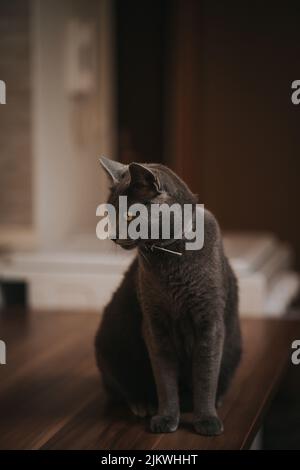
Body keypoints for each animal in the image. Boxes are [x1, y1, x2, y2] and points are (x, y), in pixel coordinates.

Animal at [95, 159, 241, 436]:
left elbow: (205, 374)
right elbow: (164, 378)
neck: (170, 254)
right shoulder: (154, 324)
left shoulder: (210, 321)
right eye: (109, 213)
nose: (114, 237)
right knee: (119, 386)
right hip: (111, 341)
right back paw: (142, 404)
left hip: (234, 346)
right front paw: (166, 417)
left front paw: (206, 419)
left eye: (130, 216)